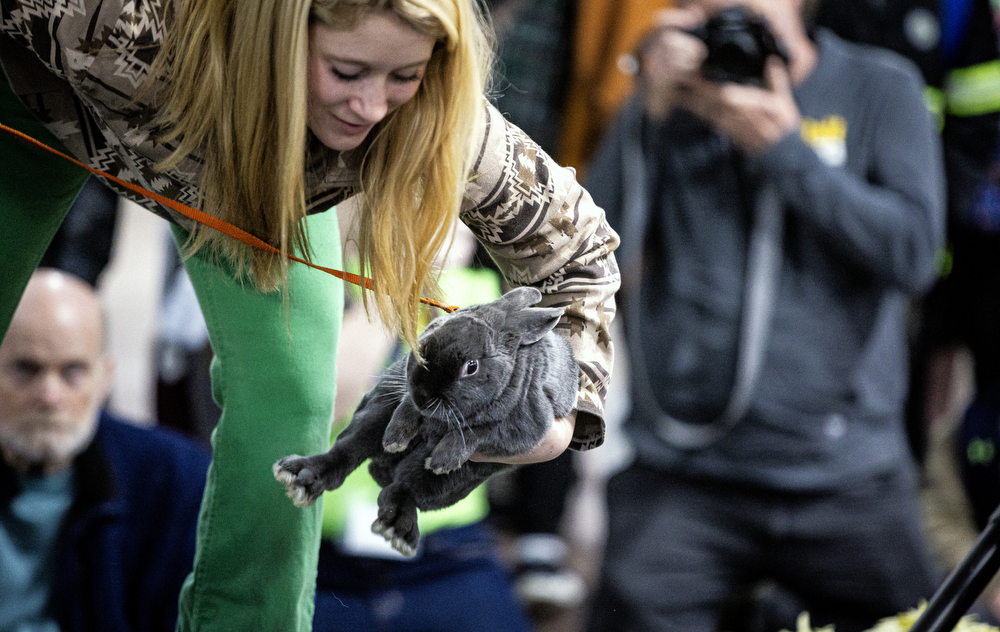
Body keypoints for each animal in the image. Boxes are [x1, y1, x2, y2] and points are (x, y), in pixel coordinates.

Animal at [273, 286, 579, 557]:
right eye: (425, 341)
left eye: (471, 367)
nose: (424, 394)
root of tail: (381, 471)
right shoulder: (405, 389)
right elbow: (407, 406)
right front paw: (395, 439)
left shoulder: (523, 427)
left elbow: (478, 432)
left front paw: (443, 458)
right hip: (372, 415)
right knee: (346, 453)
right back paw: (299, 477)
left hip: (457, 480)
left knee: (402, 490)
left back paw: (397, 530)